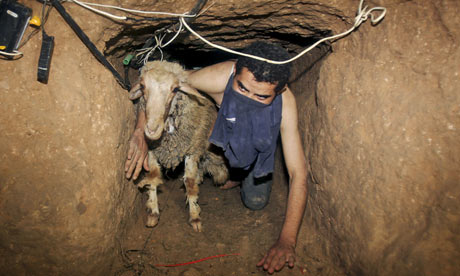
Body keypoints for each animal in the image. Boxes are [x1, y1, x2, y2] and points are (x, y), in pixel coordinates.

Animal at [127, 61, 228, 233]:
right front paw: (153, 212)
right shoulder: (152, 150)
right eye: (142, 86)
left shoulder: (192, 149)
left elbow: (190, 183)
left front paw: (194, 216)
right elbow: (153, 176)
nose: (152, 129)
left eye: (175, 89)